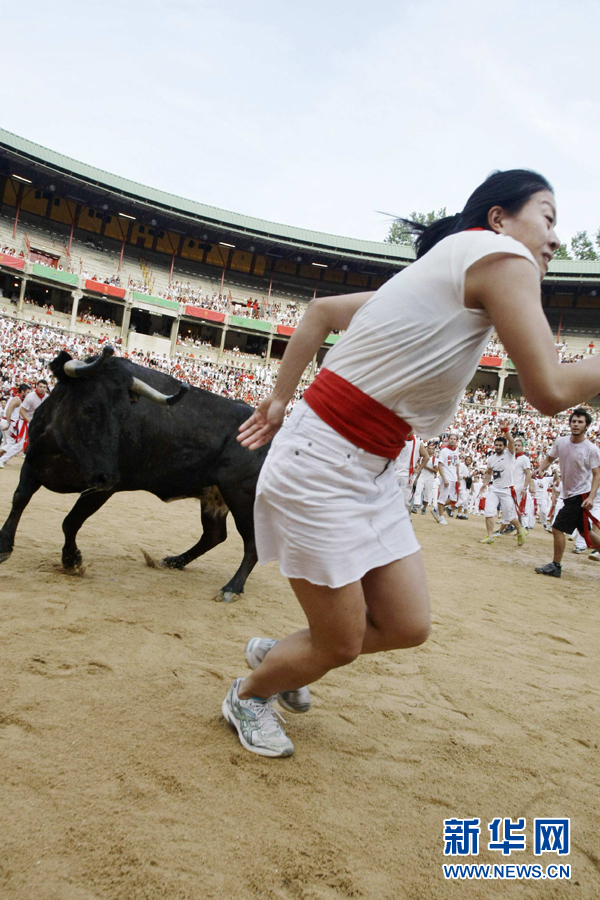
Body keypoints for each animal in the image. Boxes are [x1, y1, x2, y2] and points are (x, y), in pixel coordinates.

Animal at [0, 348, 270, 600]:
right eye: (89, 408)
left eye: (123, 415)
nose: (108, 474)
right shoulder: (33, 461)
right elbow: (19, 499)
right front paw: (4, 546)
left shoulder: (104, 489)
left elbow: (71, 521)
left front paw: (72, 560)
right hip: (213, 494)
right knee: (214, 534)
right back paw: (174, 561)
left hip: (241, 496)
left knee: (252, 544)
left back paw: (232, 588)